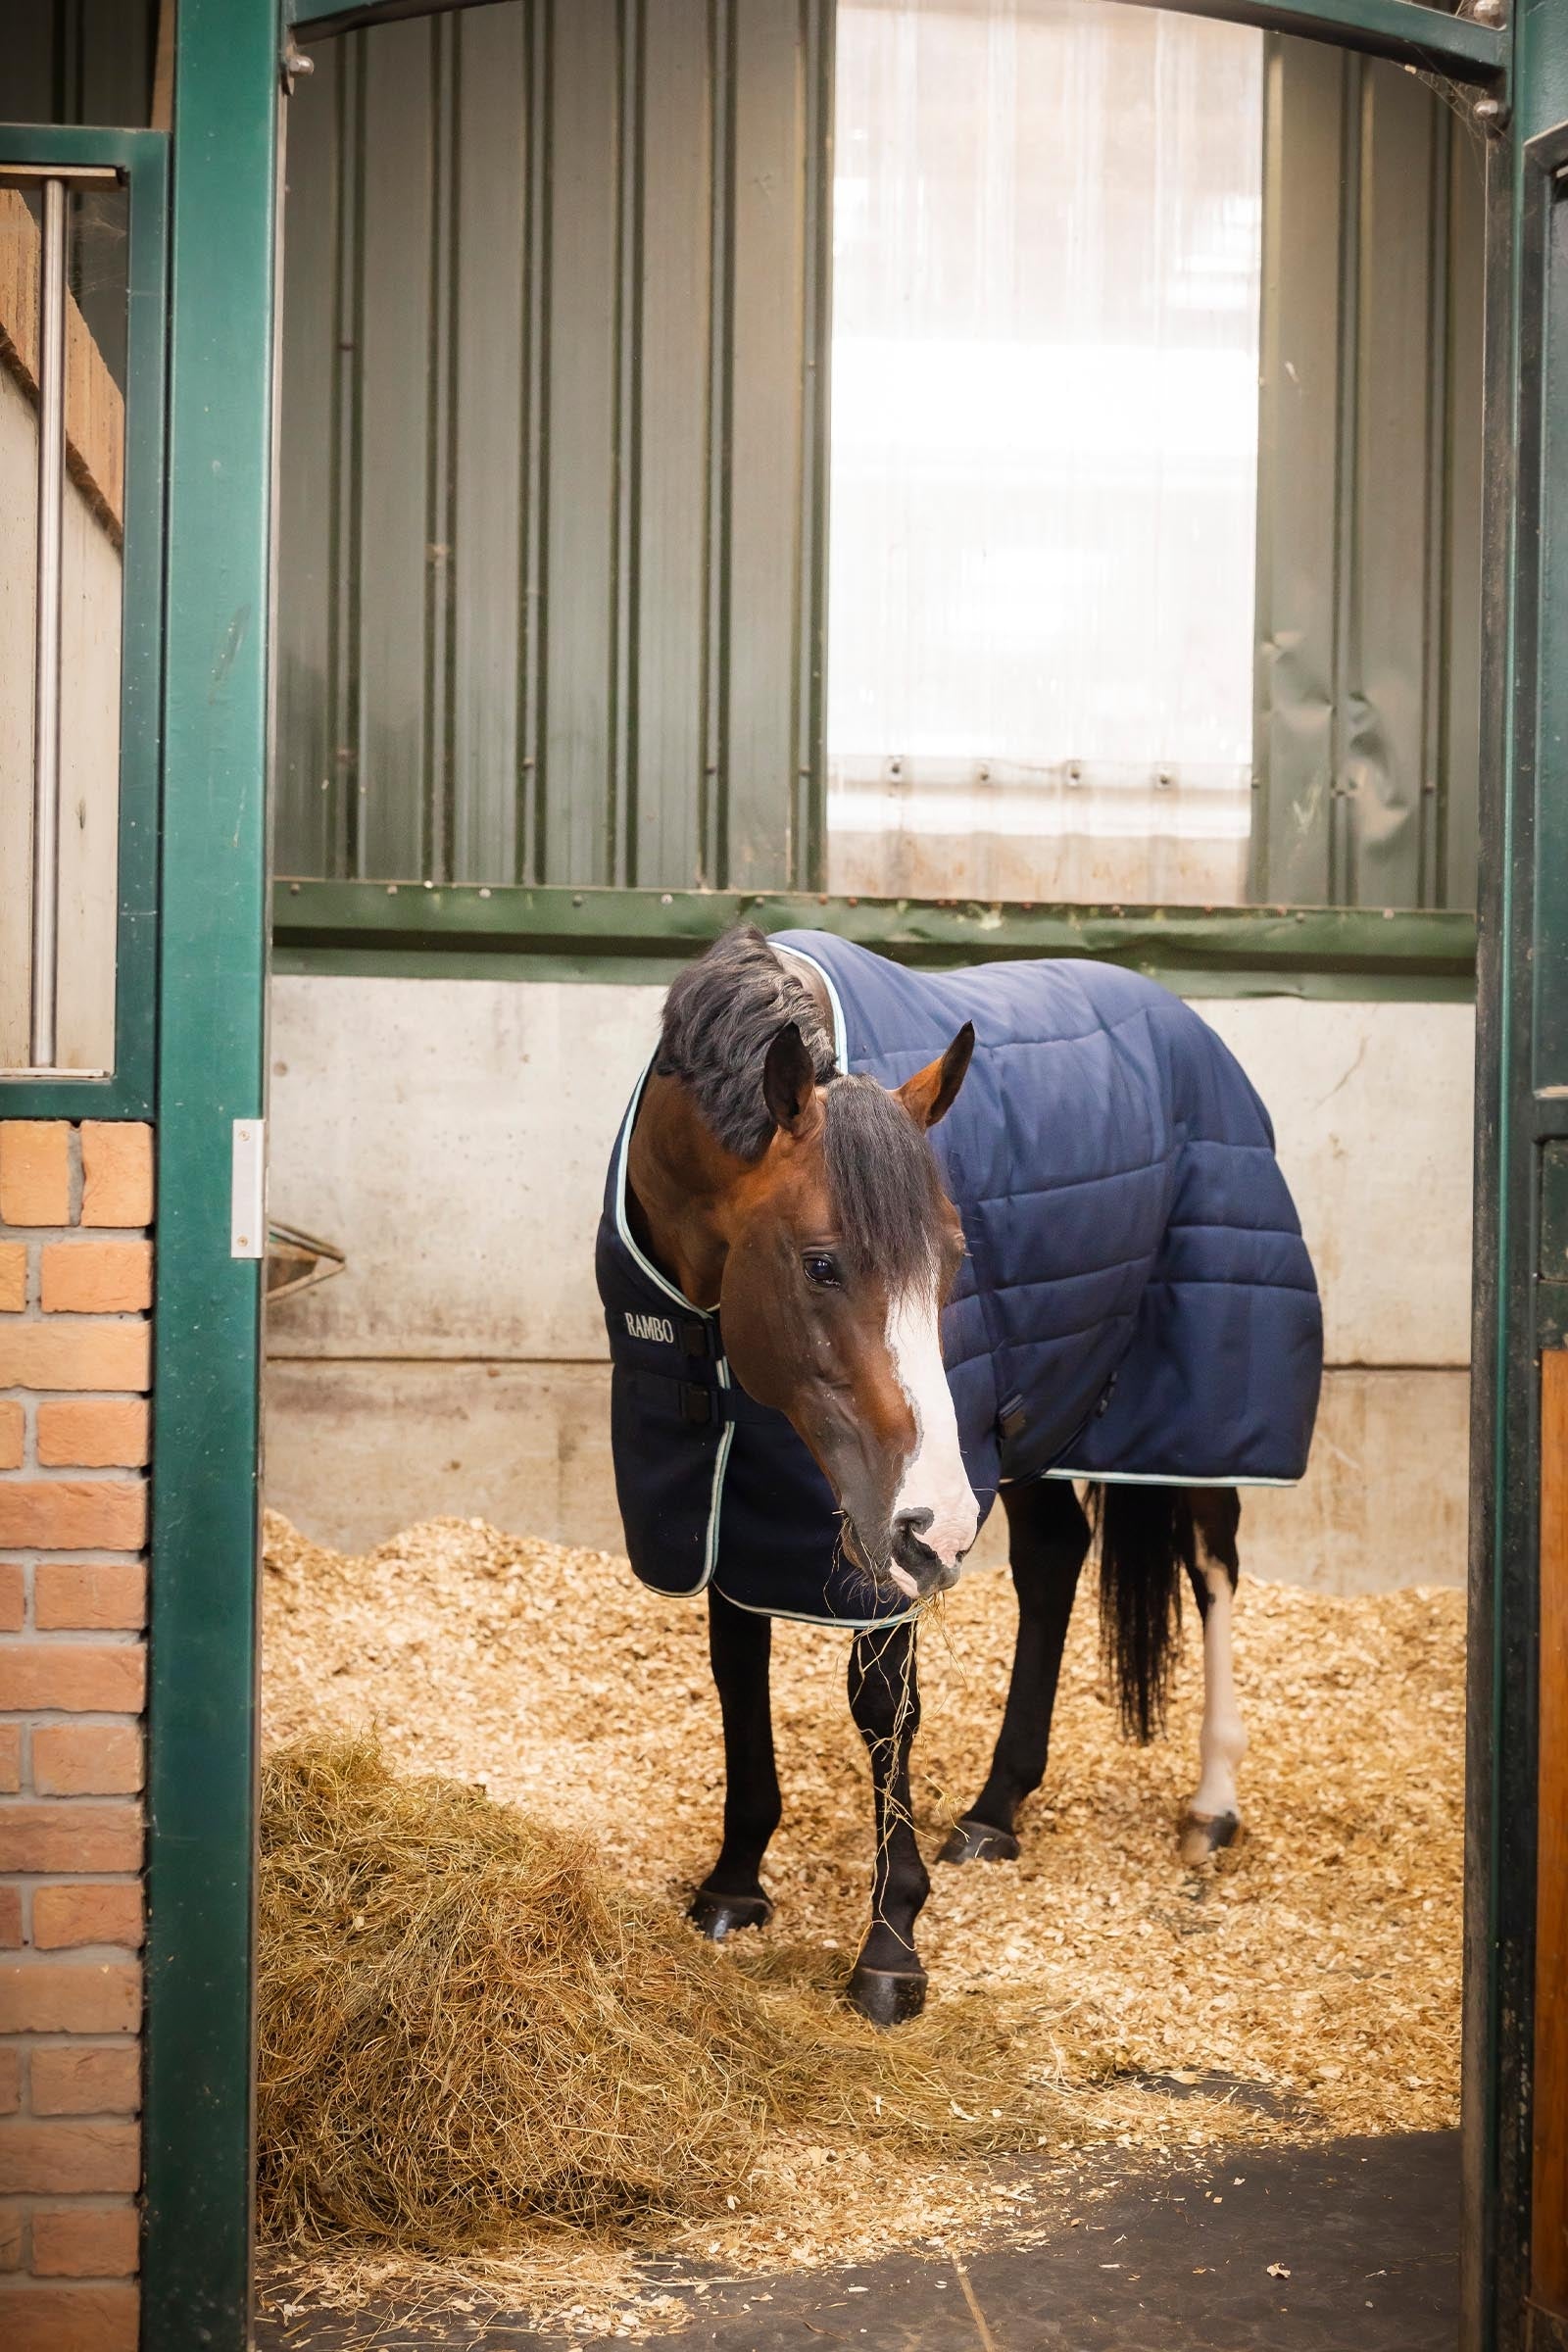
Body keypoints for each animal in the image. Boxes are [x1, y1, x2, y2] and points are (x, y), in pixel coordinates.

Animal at [596, 926, 1321, 2025]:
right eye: (821, 1264)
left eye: (952, 1261)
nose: (935, 1530)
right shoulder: (728, 1488)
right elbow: (736, 1662)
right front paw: (733, 1880)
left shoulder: (875, 1515)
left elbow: (881, 1700)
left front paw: (889, 1945)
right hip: (1033, 1414)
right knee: (1057, 1556)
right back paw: (995, 1809)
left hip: (1198, 1397)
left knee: (1212, 1562)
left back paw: (1210, 1805)